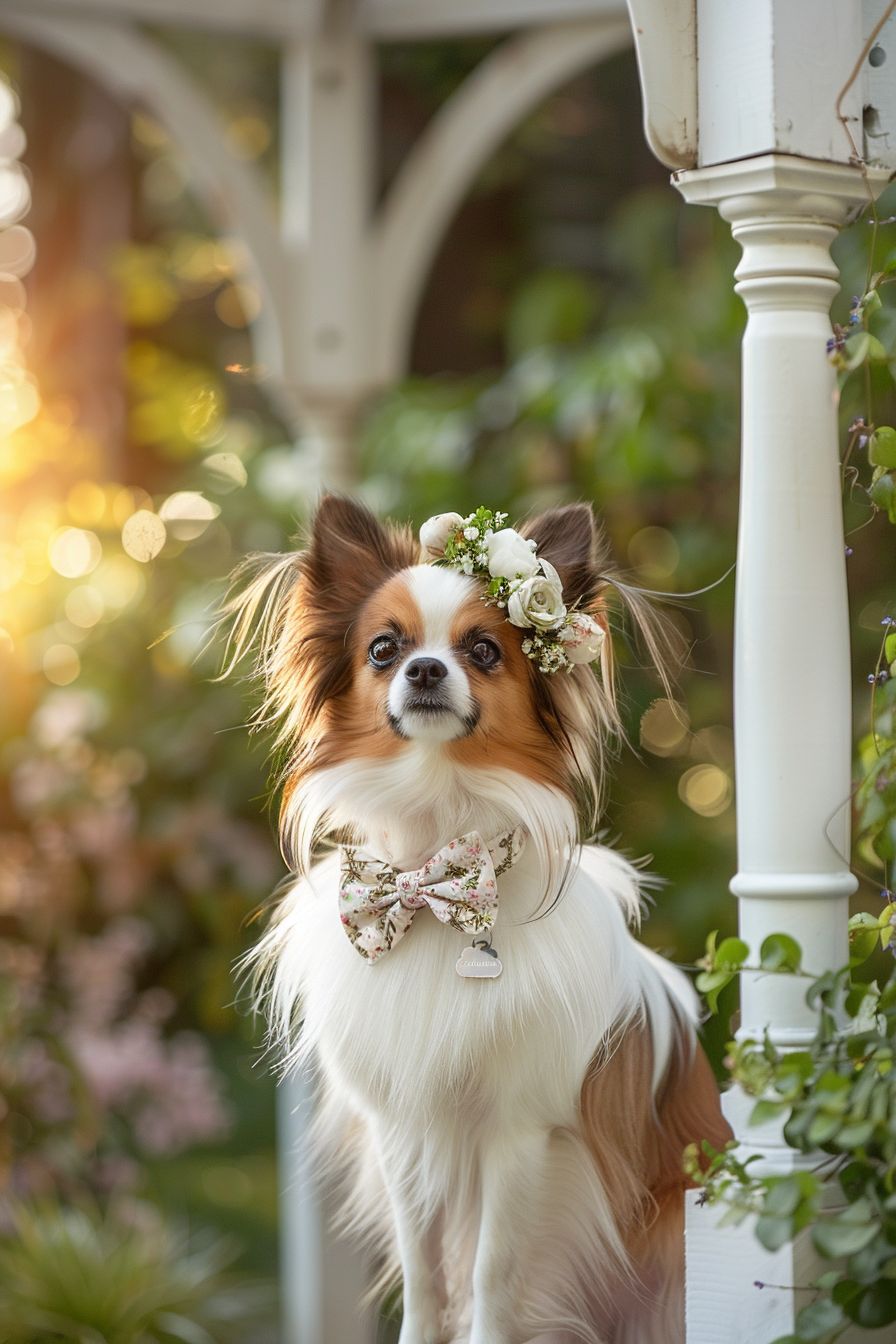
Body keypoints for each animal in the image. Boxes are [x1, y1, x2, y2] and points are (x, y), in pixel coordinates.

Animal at [225, 497, 736, 1344]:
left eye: (485, 650)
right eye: (384, 648)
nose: (426, 670)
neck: (429, 875)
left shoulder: (519, 1136)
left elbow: (491, 1274)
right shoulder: (404, 1136)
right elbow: (427, 1273)